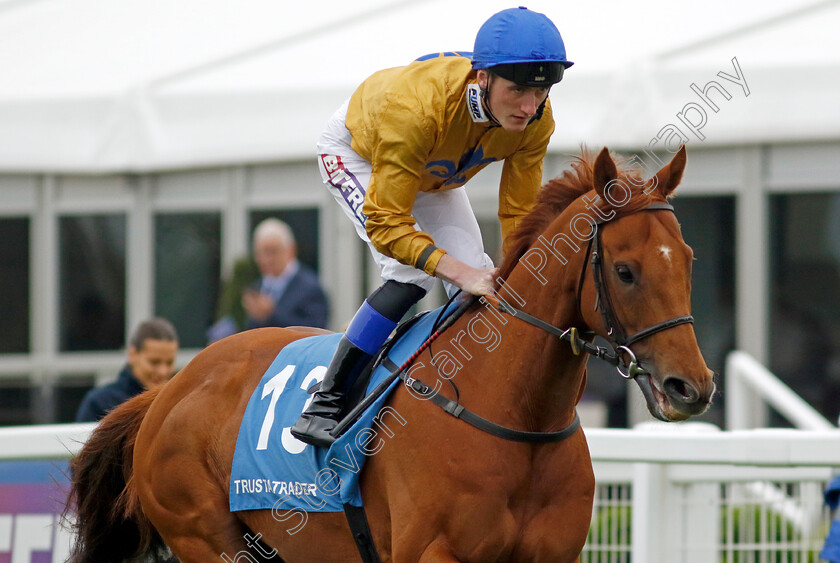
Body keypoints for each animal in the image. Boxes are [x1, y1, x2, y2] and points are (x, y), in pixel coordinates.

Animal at [69, 147, 716, 563]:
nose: (692, 387)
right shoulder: (432, 553)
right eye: (626, 271)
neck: (513, 412)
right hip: (205, 537)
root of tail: (168, 390)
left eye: (688, 260)